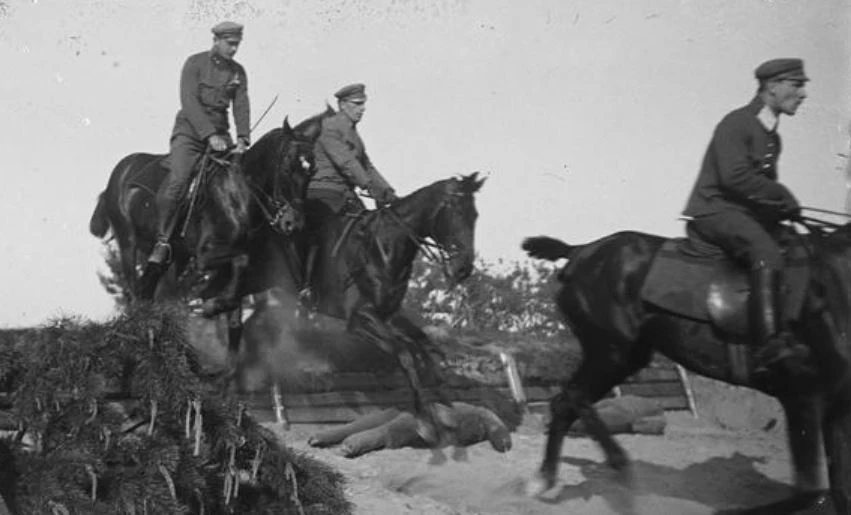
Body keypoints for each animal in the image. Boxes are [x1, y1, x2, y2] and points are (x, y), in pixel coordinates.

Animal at [524, 225, 851, 512]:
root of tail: (580, 251)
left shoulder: (836, 408)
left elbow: (839, 489)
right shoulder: (801, 397)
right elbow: (810, 492)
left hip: (625, 356)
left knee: (567, 403)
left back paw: (546, 479)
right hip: (611, 352)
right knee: (572, 399)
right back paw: (616, 469)